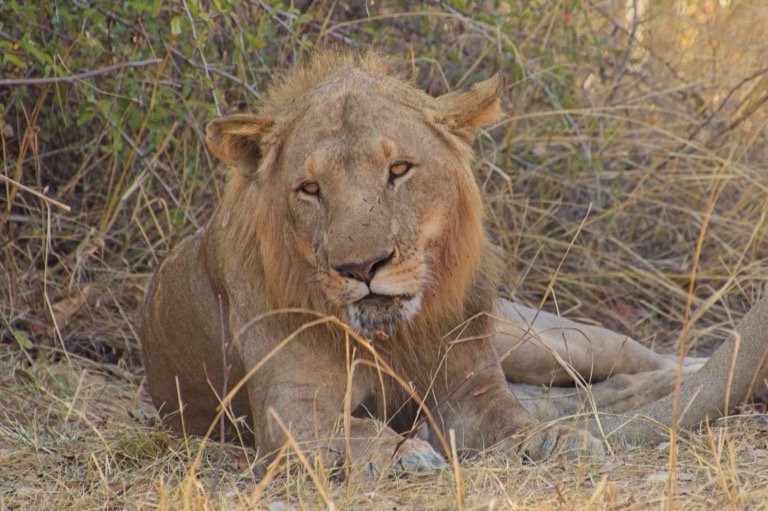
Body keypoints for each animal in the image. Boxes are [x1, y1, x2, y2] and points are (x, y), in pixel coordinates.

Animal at [141, 49, 768, 476]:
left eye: (399, 170)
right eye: (310, 189)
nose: (362, 267)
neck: (392, 338)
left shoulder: (473, 389)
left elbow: (513, 419)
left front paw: (553, 441)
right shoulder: (287, 410)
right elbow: (354, 429)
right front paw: (403, 451)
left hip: (544, 339)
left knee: (636, 360)